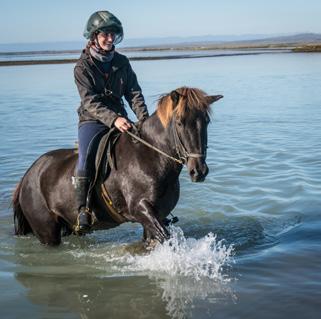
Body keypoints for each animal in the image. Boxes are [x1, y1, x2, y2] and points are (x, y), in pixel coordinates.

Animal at [12, 87, 222, 248]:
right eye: (179, 122)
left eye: (206, 122)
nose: (199, 171)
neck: (150, 157)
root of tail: (27, 177)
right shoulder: (141, 209)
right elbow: (166, 237)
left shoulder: (157, 215)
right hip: (47, 232)